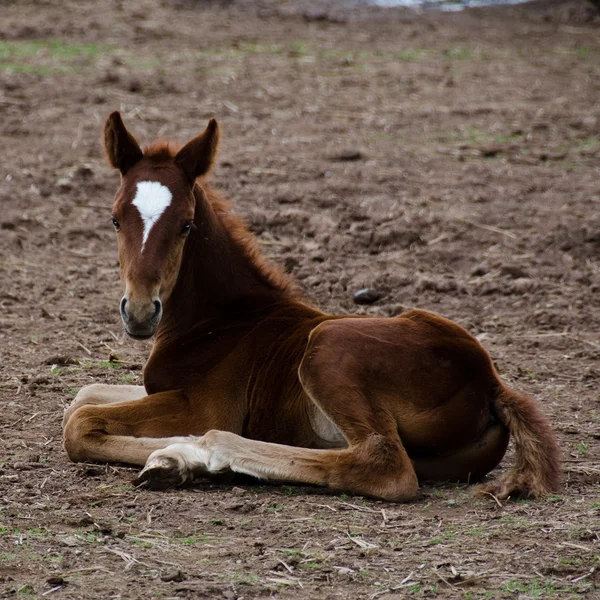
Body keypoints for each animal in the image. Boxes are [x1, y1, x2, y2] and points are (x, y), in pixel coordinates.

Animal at [62, 112, 564, 502]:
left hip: (328, 344)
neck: (220, 320)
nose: (140, 312)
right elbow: (83, 396)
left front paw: (176, 449)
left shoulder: (203, 405)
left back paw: (192, 453)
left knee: (384, 465)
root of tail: (490, 381)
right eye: (114, 219)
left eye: (186, 224)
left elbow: (80, 424)